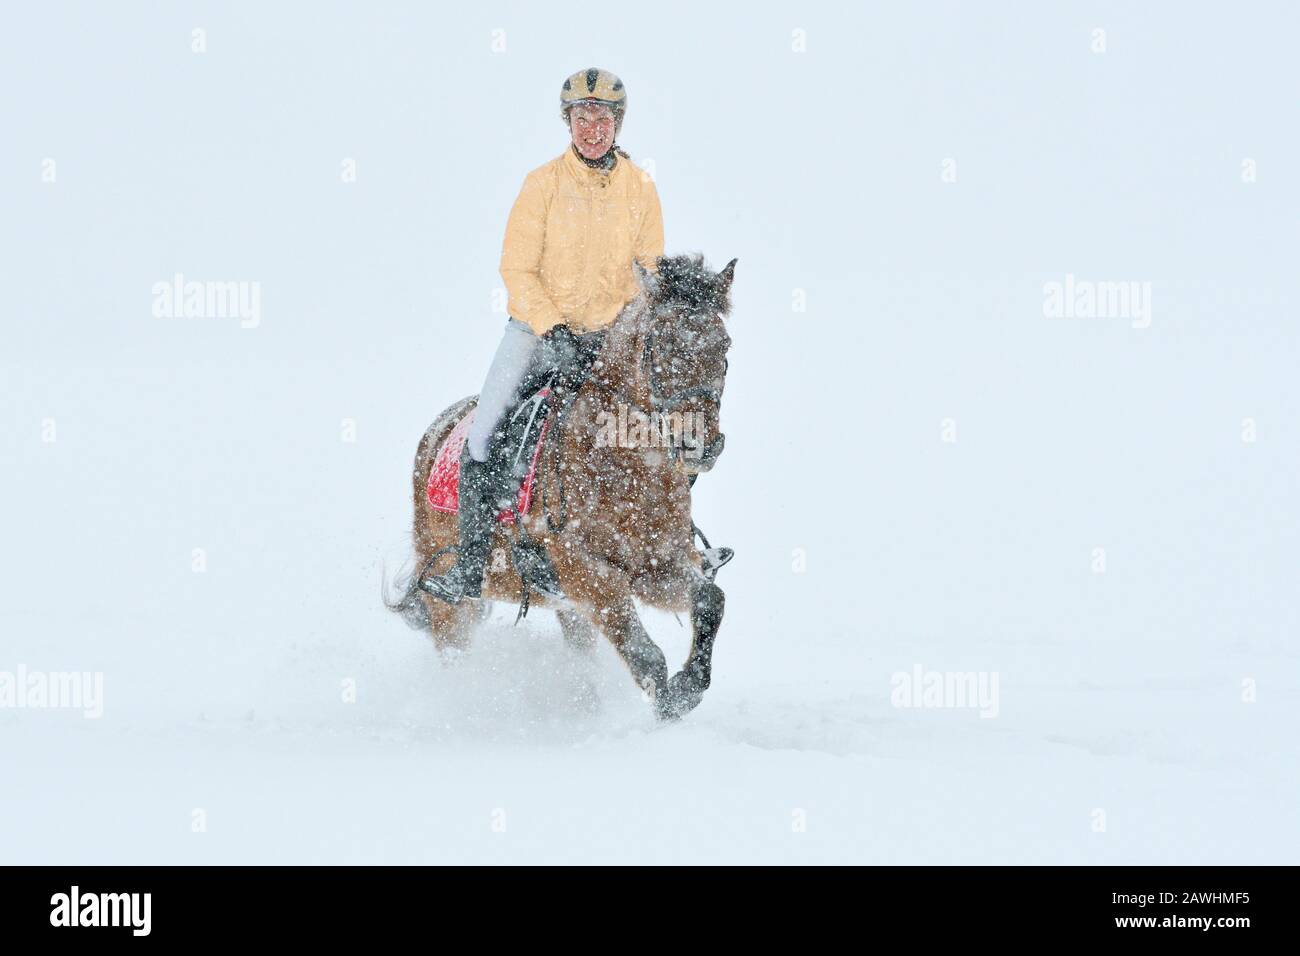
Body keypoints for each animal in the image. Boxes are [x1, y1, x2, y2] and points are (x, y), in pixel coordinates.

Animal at [384, 257, 738, 723]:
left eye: (725, 346)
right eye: (657, 345)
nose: (700, 444)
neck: (626, 473)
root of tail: (438, 430)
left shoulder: (657, 568)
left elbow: (710, 599)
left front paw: (687, 688)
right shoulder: (588, 574)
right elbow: (645, 654)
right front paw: (669, 703)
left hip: (570, 608)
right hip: (451, 600)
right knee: (454, 650)